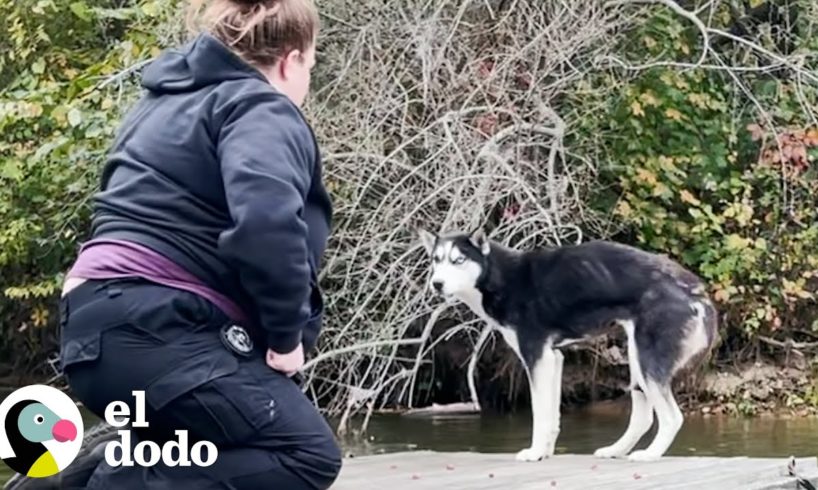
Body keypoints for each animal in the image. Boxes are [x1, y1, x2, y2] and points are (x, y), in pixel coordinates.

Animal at [418, 228, 716, 462]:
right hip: (637, 363)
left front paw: (534, 452)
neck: (502, 278)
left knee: (672, 418)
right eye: (436, 260)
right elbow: (551, 417)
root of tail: (695, 291)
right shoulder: (553, 358)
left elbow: (540, 414)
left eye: (458, 260)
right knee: (643, 418)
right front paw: (545, 452)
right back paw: (616, 450)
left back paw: (650, 455)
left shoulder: (536, 356)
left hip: (647, 363)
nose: (436, 284)